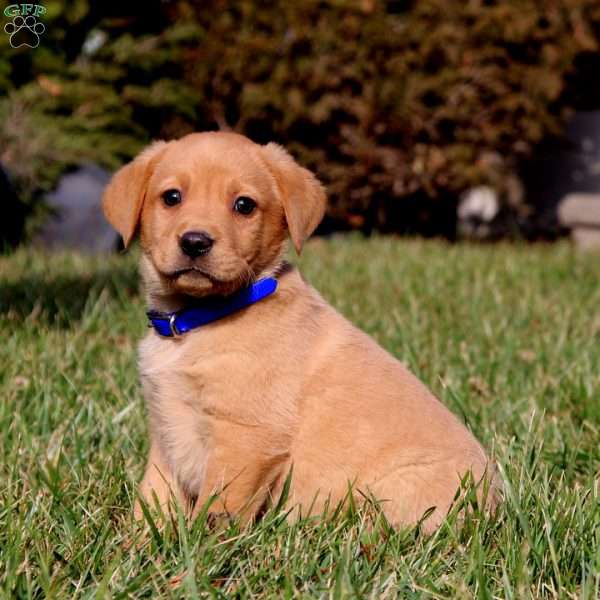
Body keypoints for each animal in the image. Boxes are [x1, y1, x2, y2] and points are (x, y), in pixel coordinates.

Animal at [104, 130, 496, 528]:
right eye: (171, 197)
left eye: (244, 205)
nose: (195, 242)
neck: (195, 321)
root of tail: (496, 506)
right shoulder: (166, 432)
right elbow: (152, 500)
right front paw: (139, 541)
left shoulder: (246, 435)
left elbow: (219, 509)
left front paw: (204, 543)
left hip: (393, 494)